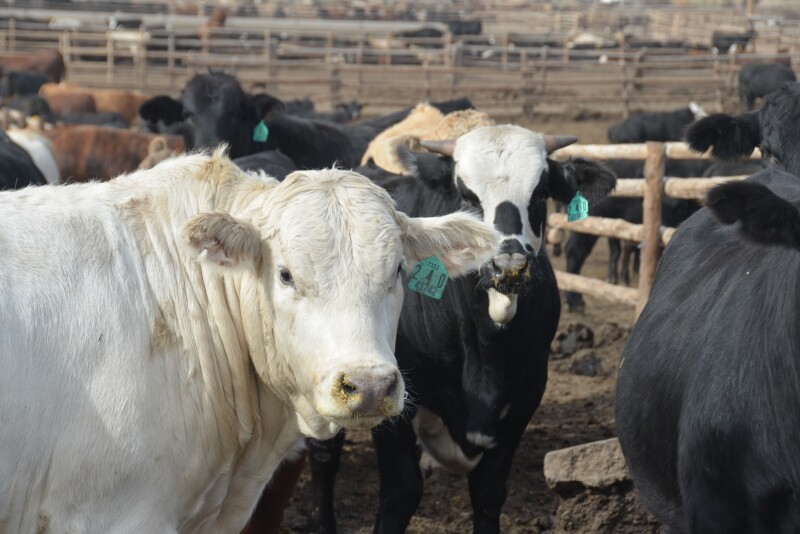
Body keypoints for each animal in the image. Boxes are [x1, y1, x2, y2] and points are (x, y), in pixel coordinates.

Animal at [302, 125, 617, 533]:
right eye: (467, 195)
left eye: (540, 193)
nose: (508, 265)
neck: (485, 346)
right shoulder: (390, 389)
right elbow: (401, 490)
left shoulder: (529, 390)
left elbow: (488, 488)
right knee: (323, 453)